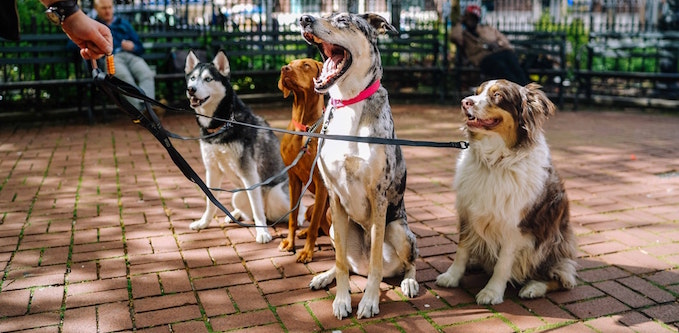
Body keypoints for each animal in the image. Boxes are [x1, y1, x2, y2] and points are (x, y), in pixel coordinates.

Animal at [186, 51, 292, 244]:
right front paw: (203, 223)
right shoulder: (212, 170)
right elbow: (210, 201)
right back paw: (235, 214)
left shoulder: (249, 173)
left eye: (208, 79)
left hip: (276, 195)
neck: (222, 124)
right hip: (237, 194)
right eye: (192, 78)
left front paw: (262, 233)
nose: (191, 89)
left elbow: (257, 208)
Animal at [278, 57, 332, 262]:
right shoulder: (293, 178)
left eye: (306, 65)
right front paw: (290, 243)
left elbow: (314, 225)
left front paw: (307, 252)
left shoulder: (321, 183)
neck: (304, 128)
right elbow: (293, 218)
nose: (284, 69)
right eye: (290, 63)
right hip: (309, 208)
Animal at [302, 13, 420, 320]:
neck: (349, 102)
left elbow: (377, 261)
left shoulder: (378, 196)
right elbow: (341, 262)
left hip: (399, 231)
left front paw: (369, 301)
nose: (304, 18)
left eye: (343, 20)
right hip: (334, 228)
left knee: (408, 263)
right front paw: (342, 300)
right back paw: (325, 276)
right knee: (347, 262)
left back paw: (409, 282)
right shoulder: (334, 196)